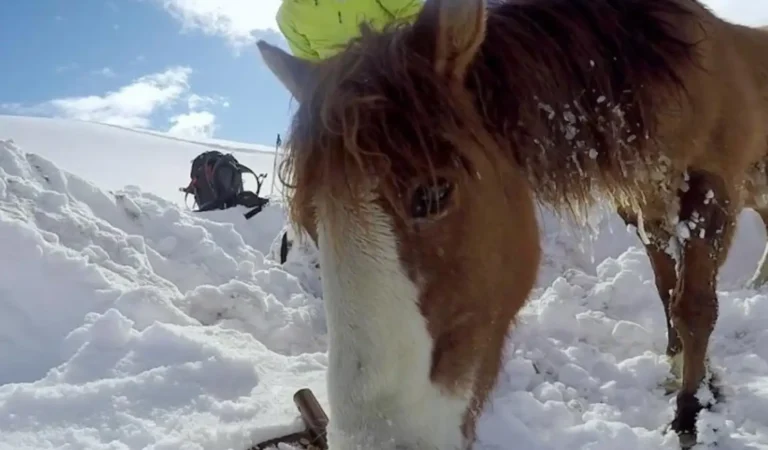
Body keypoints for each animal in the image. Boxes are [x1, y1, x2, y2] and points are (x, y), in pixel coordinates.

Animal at [256, 0, 768, 448]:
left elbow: (694, 308)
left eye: (433, 194)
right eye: (312, 223)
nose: (380, 442)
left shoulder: (709, 195)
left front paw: (690, 412)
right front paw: (678, 367)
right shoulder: (646, 206)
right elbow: (667, 292)